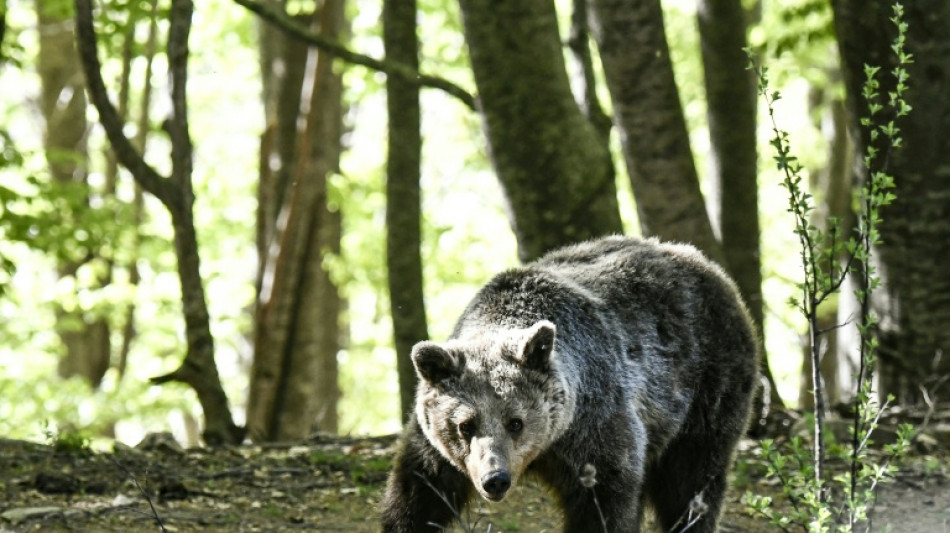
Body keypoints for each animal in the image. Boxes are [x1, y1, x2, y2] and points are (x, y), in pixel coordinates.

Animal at [381, 235, 758, 532]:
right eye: (464, 425)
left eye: (515, 422)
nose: (495, 479)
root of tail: (707, 265)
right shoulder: (434, 448)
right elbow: (418, 492)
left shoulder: (594, 426)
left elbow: (604, 502)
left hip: (706, 387)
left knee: (691, 481)